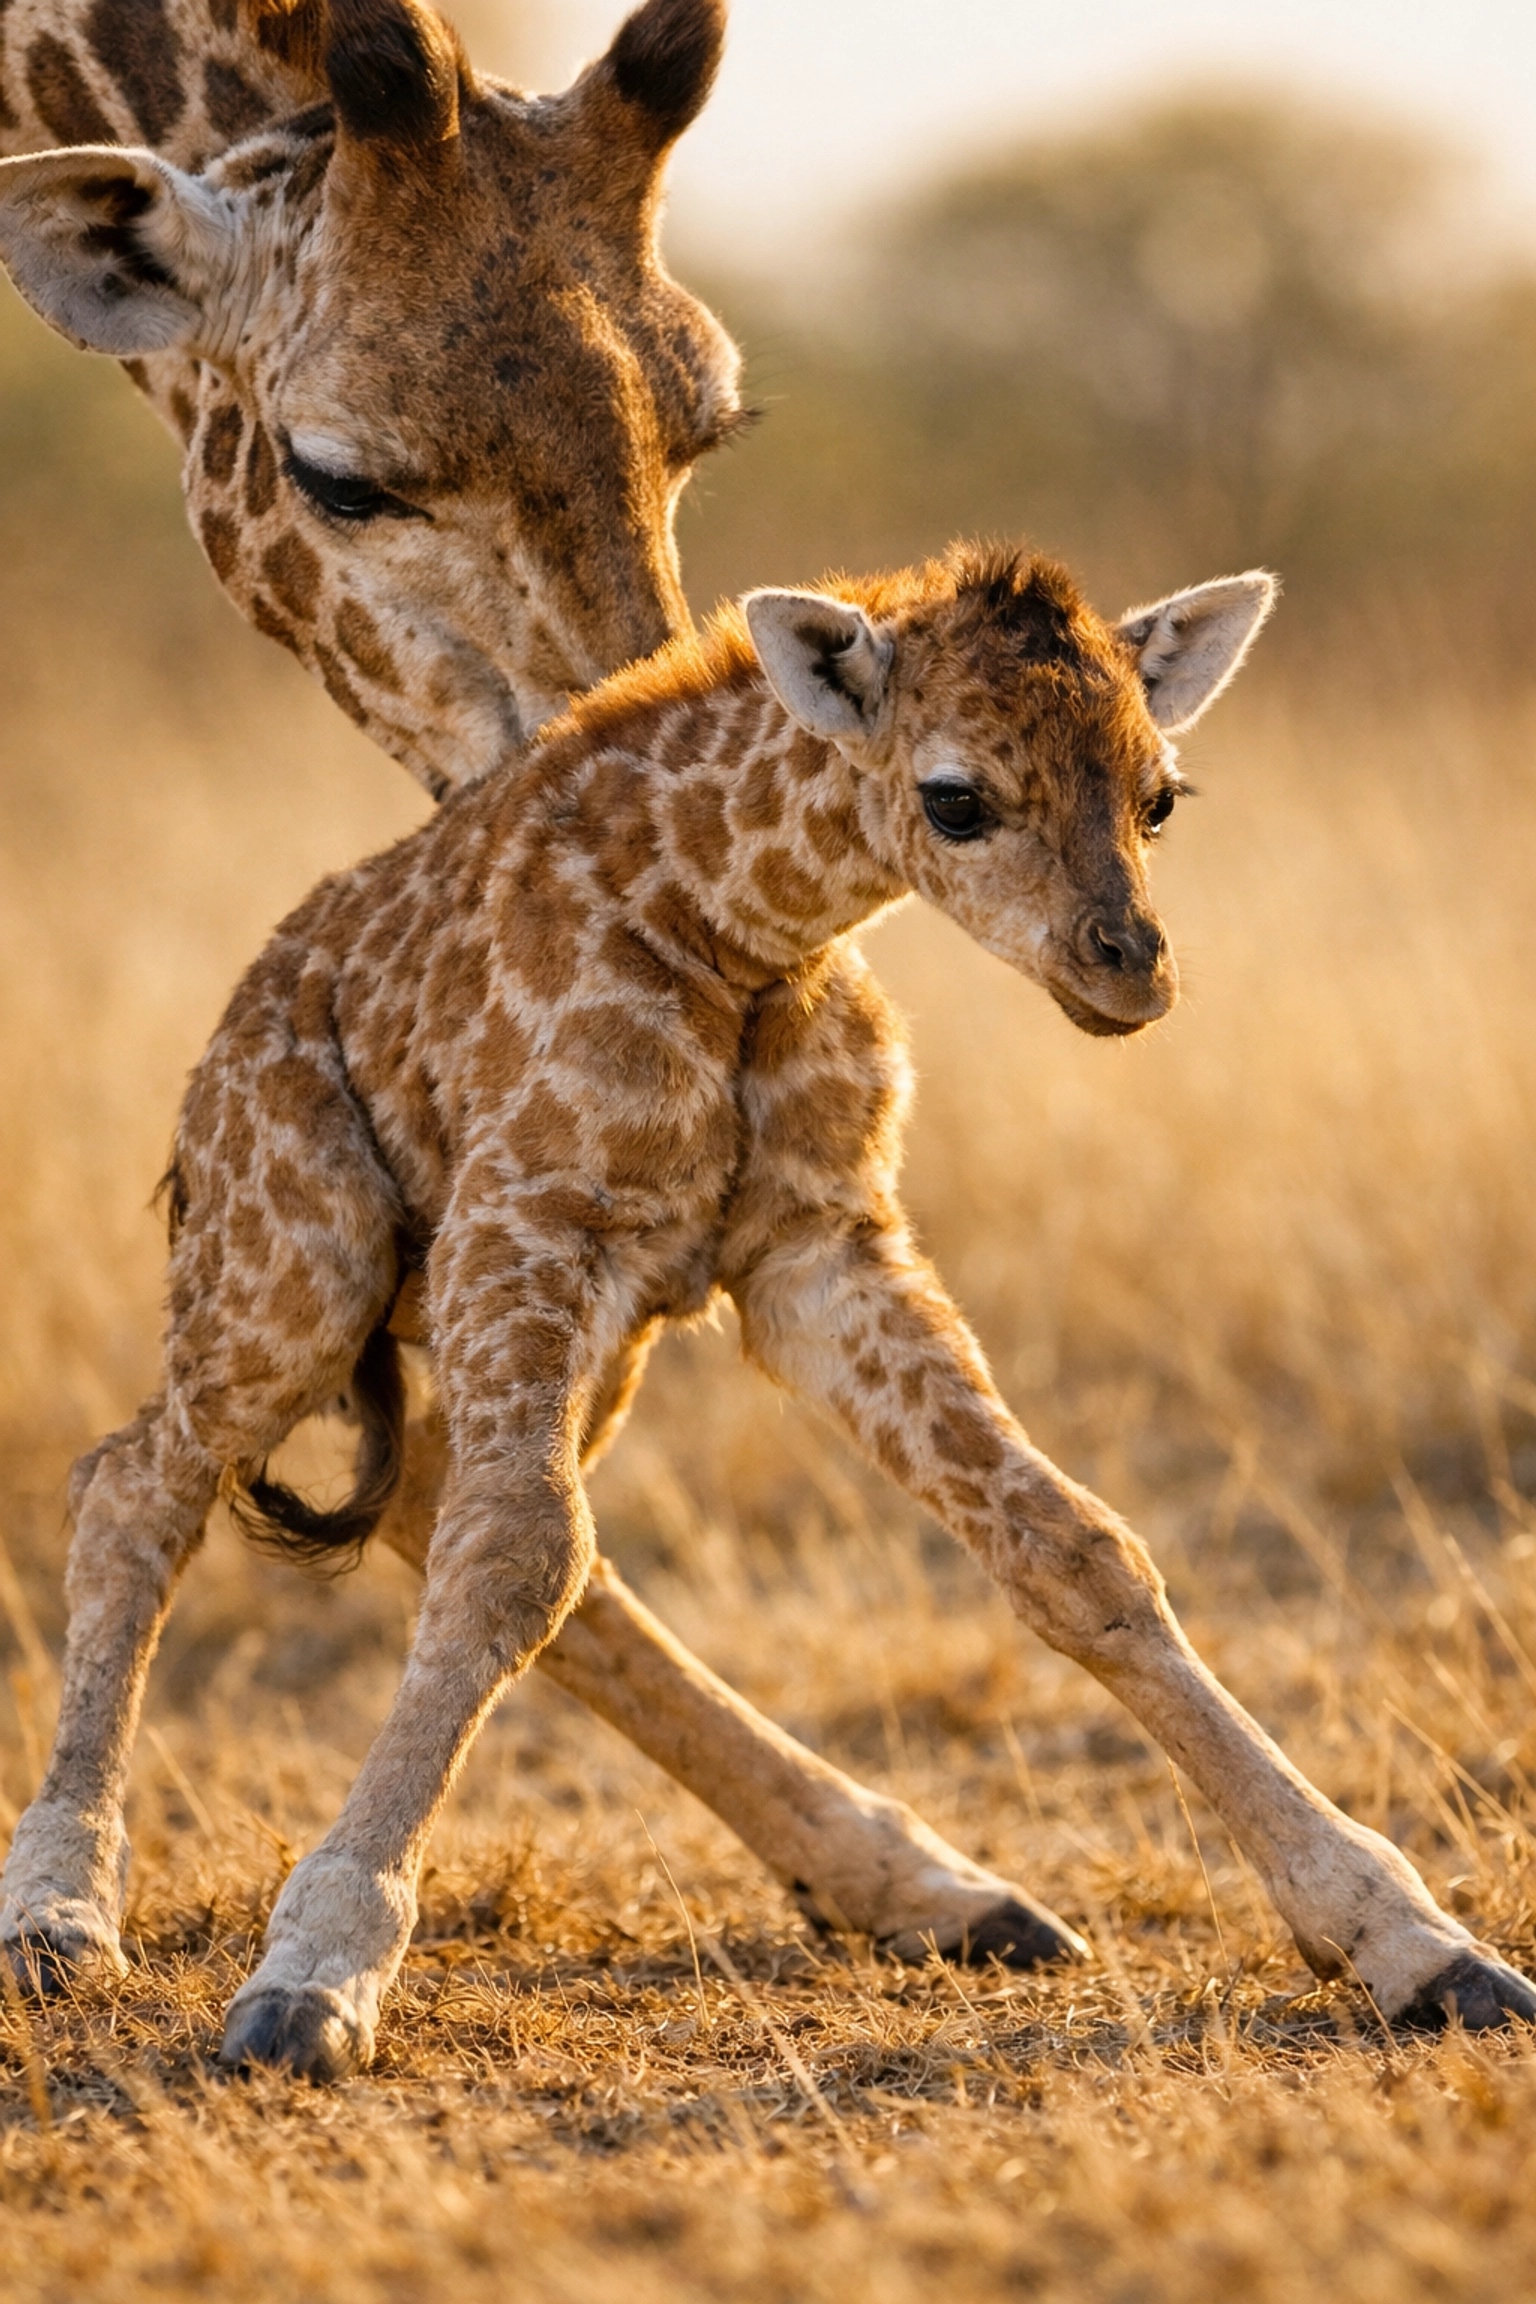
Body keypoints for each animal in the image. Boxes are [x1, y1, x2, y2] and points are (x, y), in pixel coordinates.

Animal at [5, 541, 1530, 2082]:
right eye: (957, 796)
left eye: (1161, 793)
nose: (1132, 968)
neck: (730, 927)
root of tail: (213, 1067)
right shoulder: (529, 1216)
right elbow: (515, 1562)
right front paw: (311, 1977)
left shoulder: (822, 1249)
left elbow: (1073, 1545)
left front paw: (1421, 1945)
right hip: (301, 1262)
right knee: (132, 1480)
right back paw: (59, 1915)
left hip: (572, 1336)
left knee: (433, 1500)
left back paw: (933, 1888)